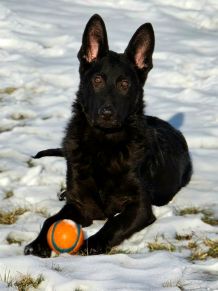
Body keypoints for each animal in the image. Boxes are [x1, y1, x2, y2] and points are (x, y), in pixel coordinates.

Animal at [23, 15, 192, 258]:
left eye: (124, 84)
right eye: (97, 80)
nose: (106, 113)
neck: (103, 145)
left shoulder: (139, 207)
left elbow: (114, 223)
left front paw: (91, 243)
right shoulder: (80, 204)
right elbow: (50, 220)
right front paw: (37, 243)